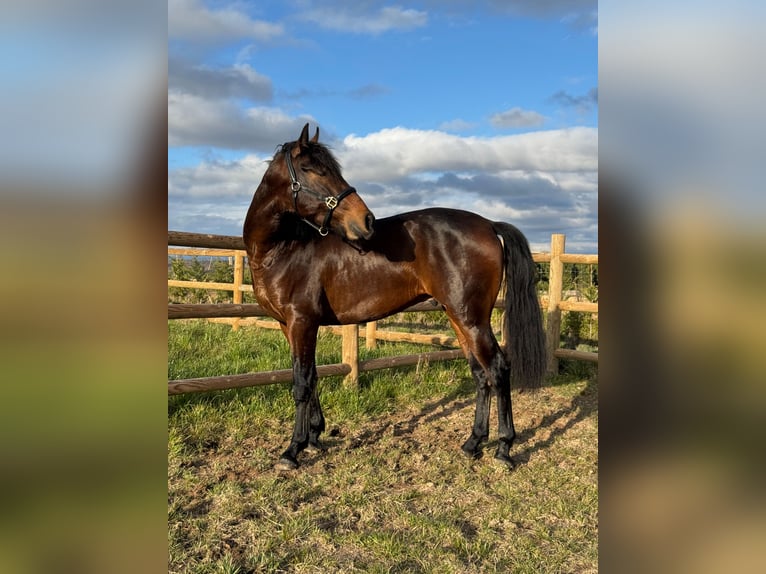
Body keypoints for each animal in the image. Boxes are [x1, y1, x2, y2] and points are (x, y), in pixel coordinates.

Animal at [243, 123, 546, 471]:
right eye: (311, 169)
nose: (366, 221)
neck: (284, 249)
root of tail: (488, 224)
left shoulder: (302, 322)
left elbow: (302, 383)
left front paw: (293, 449)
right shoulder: (289, 325)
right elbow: (313, 375)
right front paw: (315, 437)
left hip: (472, 319)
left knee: (497, 368)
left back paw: (504, 449)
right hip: (458, 316)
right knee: (480, 373)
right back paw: (473, 443)